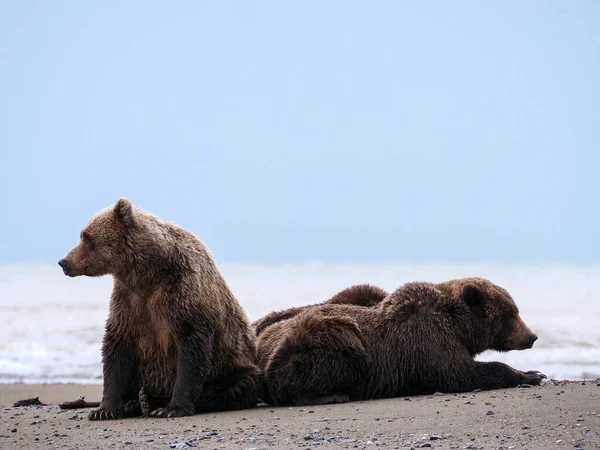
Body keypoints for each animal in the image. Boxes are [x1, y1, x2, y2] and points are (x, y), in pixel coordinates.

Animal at [56, 199, 260, 420]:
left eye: (86, 237)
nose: (64, 262)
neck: (147, 275)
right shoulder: (128, 302)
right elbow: (116, 349)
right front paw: (104, 410)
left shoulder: (183, 296)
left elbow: (191, 352)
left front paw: (172, 408)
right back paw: (135, 401)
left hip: (234, 365)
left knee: (237, 385)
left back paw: (151, 400)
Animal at [256, 276, 544, 406]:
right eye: (511, 313)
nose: (531, 336)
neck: (459, 327)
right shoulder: (428, 341)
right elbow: (459, 373)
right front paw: (530, 375)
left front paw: (532, 372)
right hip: (319, 340)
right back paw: (332, 395)